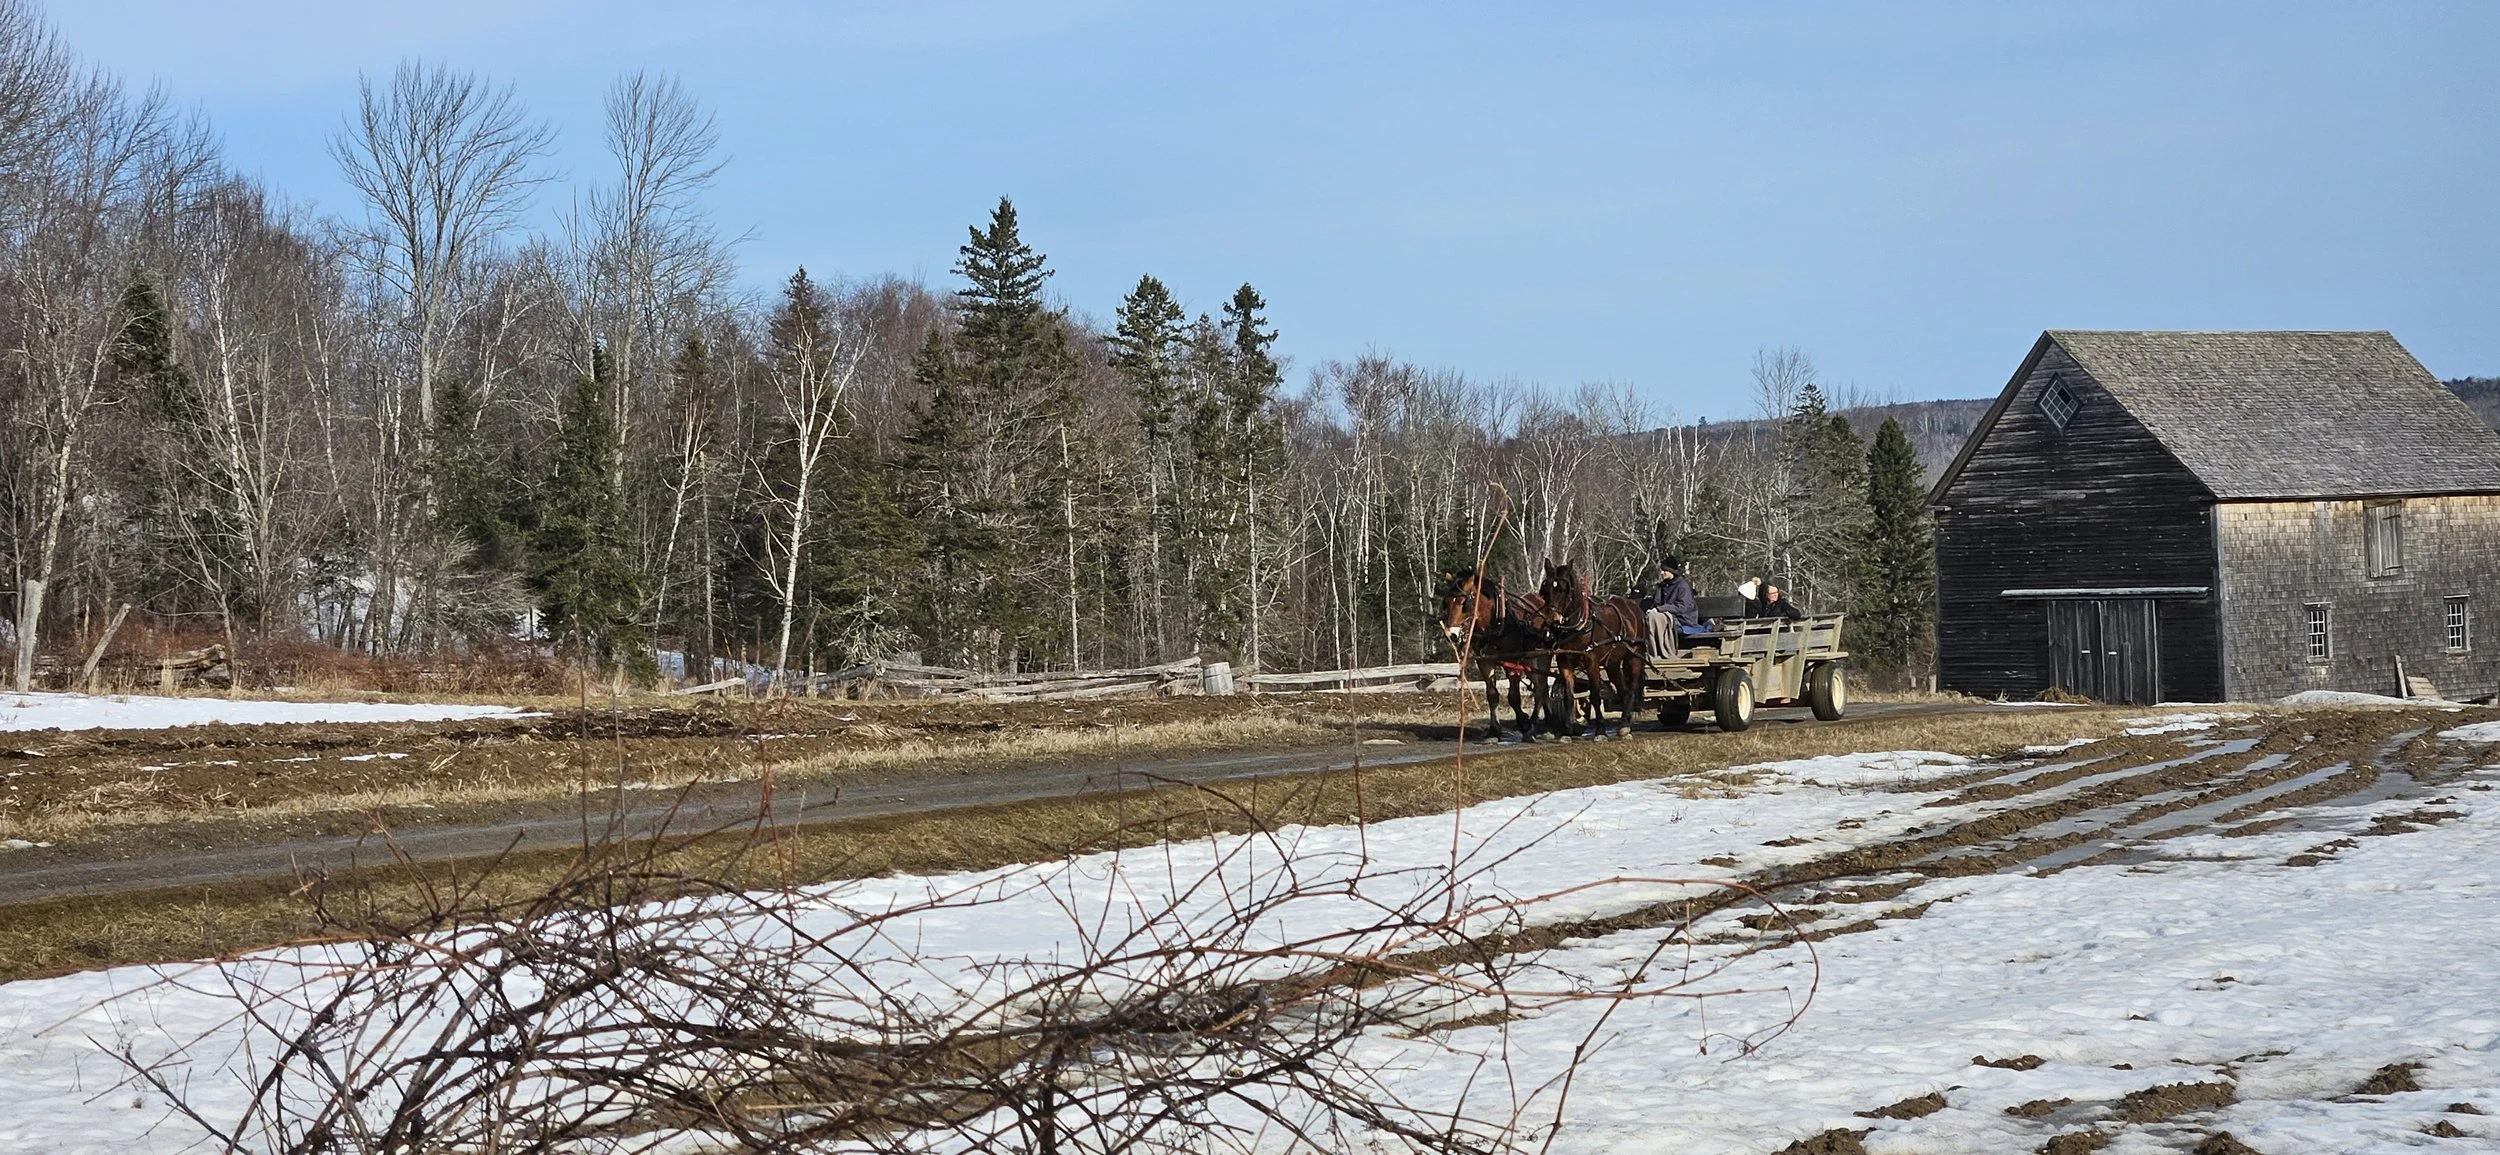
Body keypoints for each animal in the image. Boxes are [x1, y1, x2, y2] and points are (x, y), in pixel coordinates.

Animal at [1437, 569, 1550, 742]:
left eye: (1464, 602)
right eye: (1446, 602)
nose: (1452, 635)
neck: (1495, 623)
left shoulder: (1512, 661)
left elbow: (1513, 697)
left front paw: (1524, 724)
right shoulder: (1485, 662)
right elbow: (1492, 695)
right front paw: (1494, 730)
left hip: (1542, 656)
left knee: (1542, 687)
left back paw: (1536, 723)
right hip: (1528, 660)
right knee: (1540, 687)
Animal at [1532, 559, 1648, 738]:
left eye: (1564, 589)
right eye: (1545, 589)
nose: (1552, 620)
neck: (1578, 625)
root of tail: (1634, 607)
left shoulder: (1592, 662)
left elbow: (1595, 696)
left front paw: (1600, 731)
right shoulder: (1564, 662)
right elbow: (1569, 697)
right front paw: (1568, 731)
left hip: (1634, 656)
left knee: (1632, 689)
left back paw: (1624, 725)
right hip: (1612, 663)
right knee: (1623, 690)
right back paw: (1625, 722)